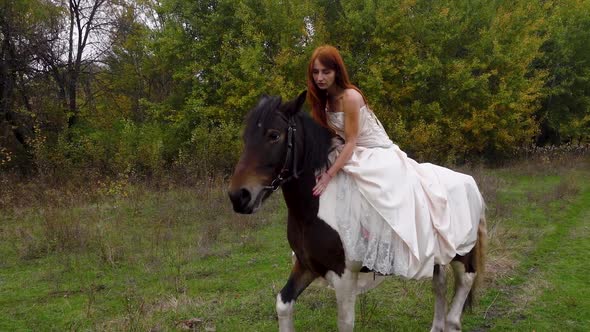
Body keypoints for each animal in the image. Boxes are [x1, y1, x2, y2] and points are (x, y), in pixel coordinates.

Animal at [229, 91, 488, 332]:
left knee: (464, 284)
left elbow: (345, 323)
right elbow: (283, 304)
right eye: (245, 137)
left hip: (462, 253)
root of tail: (470, 182)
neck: (313, 209)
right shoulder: (306, 265)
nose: (238, 196)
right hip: (437, 256)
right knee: (440, 284)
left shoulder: (344, 276)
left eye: (274, 135)